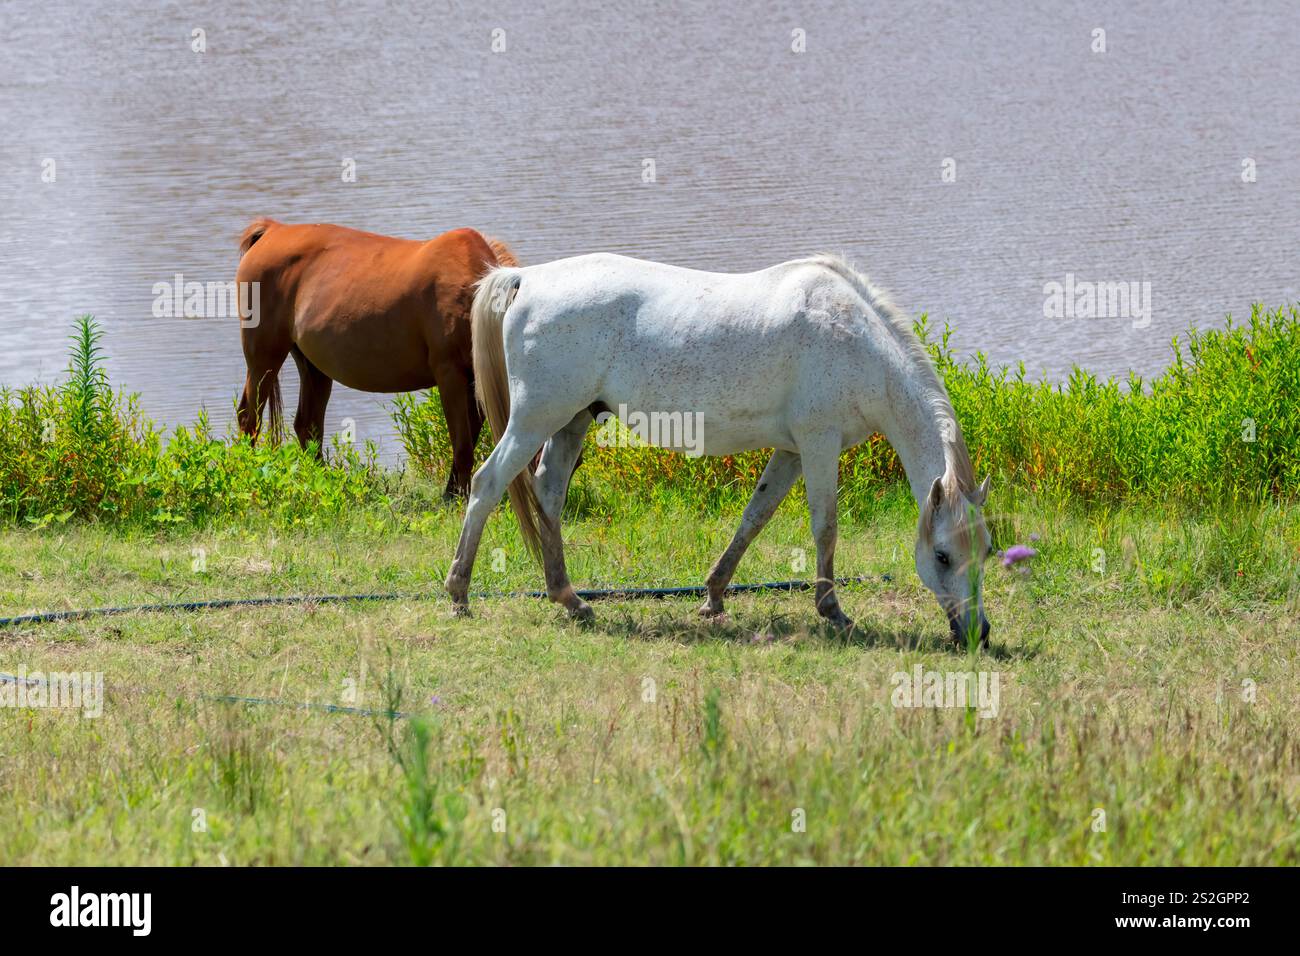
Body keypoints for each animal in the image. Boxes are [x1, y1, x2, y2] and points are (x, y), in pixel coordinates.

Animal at [233, 219, 518, 498]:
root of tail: (273, 229)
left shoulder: (475, 380)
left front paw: (454, 493)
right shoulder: (450, 374)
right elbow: (462, 447)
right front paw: (455, 499)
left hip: (312, 365)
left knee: (307, 425)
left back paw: (323, 482)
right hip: (264, 357)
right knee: (249, 417)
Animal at [445, 252, 994, 648]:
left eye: (986, 550)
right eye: (942, 555)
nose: (978, 633)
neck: (856, 340)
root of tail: (527, 279)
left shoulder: (791, 452)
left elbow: (755, 516)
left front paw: (713, 596)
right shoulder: (818, 444)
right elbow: (825, 526)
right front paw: (832, 611)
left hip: (572, 421)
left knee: (550, 493)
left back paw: (569, 597)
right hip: (535, 419)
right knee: (487, 484)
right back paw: (459, 594)